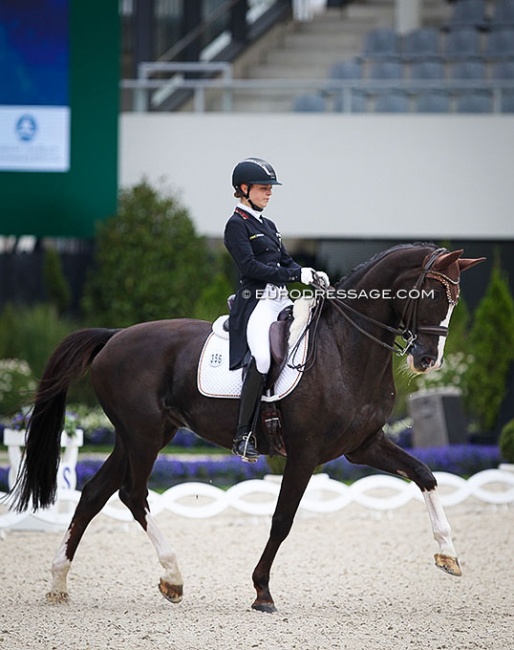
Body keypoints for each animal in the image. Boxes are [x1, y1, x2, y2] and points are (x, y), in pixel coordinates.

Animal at [13, 240, 484, 612]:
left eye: (455, 301)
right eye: (429, 293)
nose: (427, 360)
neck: (345, 349)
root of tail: (114, 336)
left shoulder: (364, 445)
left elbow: (425, 474)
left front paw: (449, 555)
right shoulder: (306, 453)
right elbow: (282, 519)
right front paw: (262, 592)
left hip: (141, 436)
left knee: (94, 494)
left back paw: (59, 583)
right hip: (143, 435)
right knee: (132, 493)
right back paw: (173, 577)